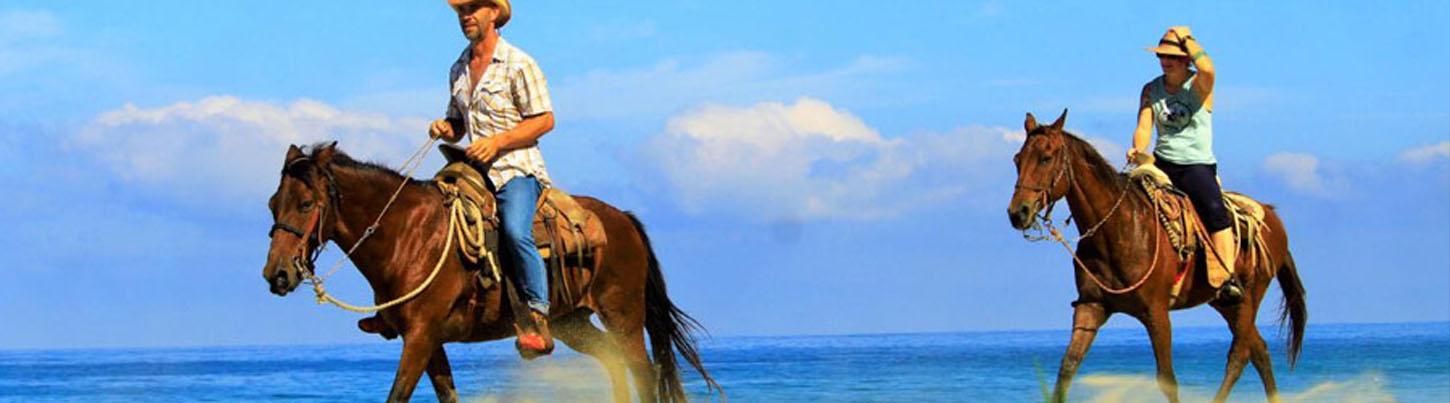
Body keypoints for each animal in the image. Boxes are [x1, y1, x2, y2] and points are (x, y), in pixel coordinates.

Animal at [262, 142, 720, 402]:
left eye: (306, 204)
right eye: (272, 204)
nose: (277, 274)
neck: (407, 235)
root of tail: (623, 219)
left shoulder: (421, 336)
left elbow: (398, 395)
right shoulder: (430, 340)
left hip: (622, 314)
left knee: (643, 370)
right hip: (572, 322)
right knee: (612, 361)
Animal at [1005, 111, 1307, 403]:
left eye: (1046, 158)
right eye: (1017, 160)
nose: (1018, 212)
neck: (1118, 228)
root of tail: (1273, 218)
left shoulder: (1156, 313)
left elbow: (1167, 379)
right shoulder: (1091, 306)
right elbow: (1066, 369)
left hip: (1248, 298)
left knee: (1240, 355)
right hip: (1225, 303)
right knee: (1259, 351)